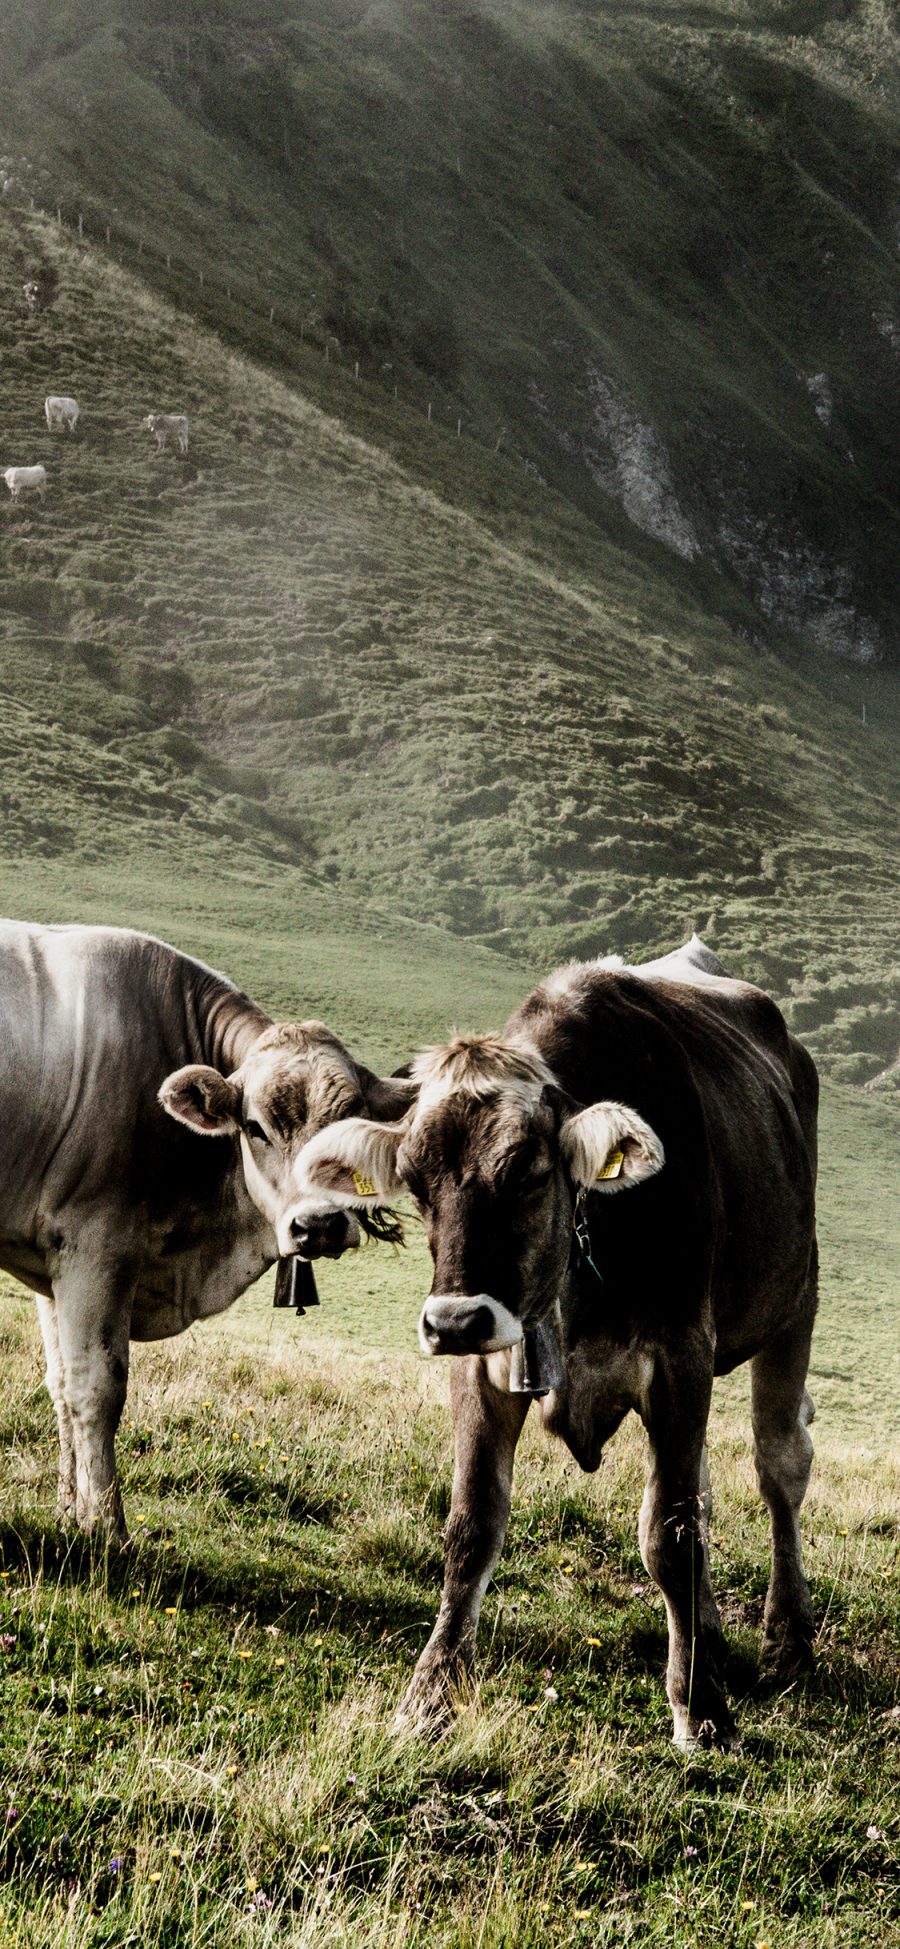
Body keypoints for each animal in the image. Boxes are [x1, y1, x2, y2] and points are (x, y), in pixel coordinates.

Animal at [0, 923, 412, 1535]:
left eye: (354, 1126)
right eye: (256, 1127)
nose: (320, 1223)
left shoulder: (53, 1262)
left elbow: (60, 1387)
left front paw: (70, 1516)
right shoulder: (94, 1248)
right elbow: (96, 1389)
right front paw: (108, 1530)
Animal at [298, 943, 818, 1754]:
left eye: (529, 1172)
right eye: (414, 1181)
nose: (452, 1320)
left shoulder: (681, 1356)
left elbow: (668, 1531)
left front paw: (699, 1705)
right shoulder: (485, 1365)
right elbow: (472, 1524)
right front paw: (430, 1695)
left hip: (795, 1301)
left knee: (779, 1467)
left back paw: (787, 1637)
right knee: (704, 1491)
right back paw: (708, 1632)